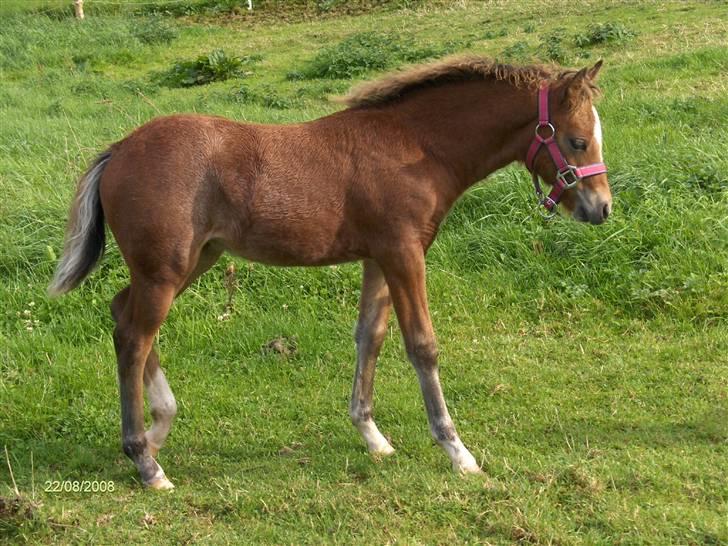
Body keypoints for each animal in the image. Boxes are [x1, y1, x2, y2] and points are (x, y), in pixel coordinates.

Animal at [48, 57, 612, 486]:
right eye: (578, 141)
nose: (601, 208)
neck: (417, 146)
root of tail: (119, 149)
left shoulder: (378, 257)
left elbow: (370, 336)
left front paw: (373, 437)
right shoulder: (404, 252)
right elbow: (421, 345)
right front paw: (458, 452)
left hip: (192, 260)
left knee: (123, 315)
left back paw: (158, 430)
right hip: (165, 270)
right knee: (134, 337)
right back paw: (147, 463)